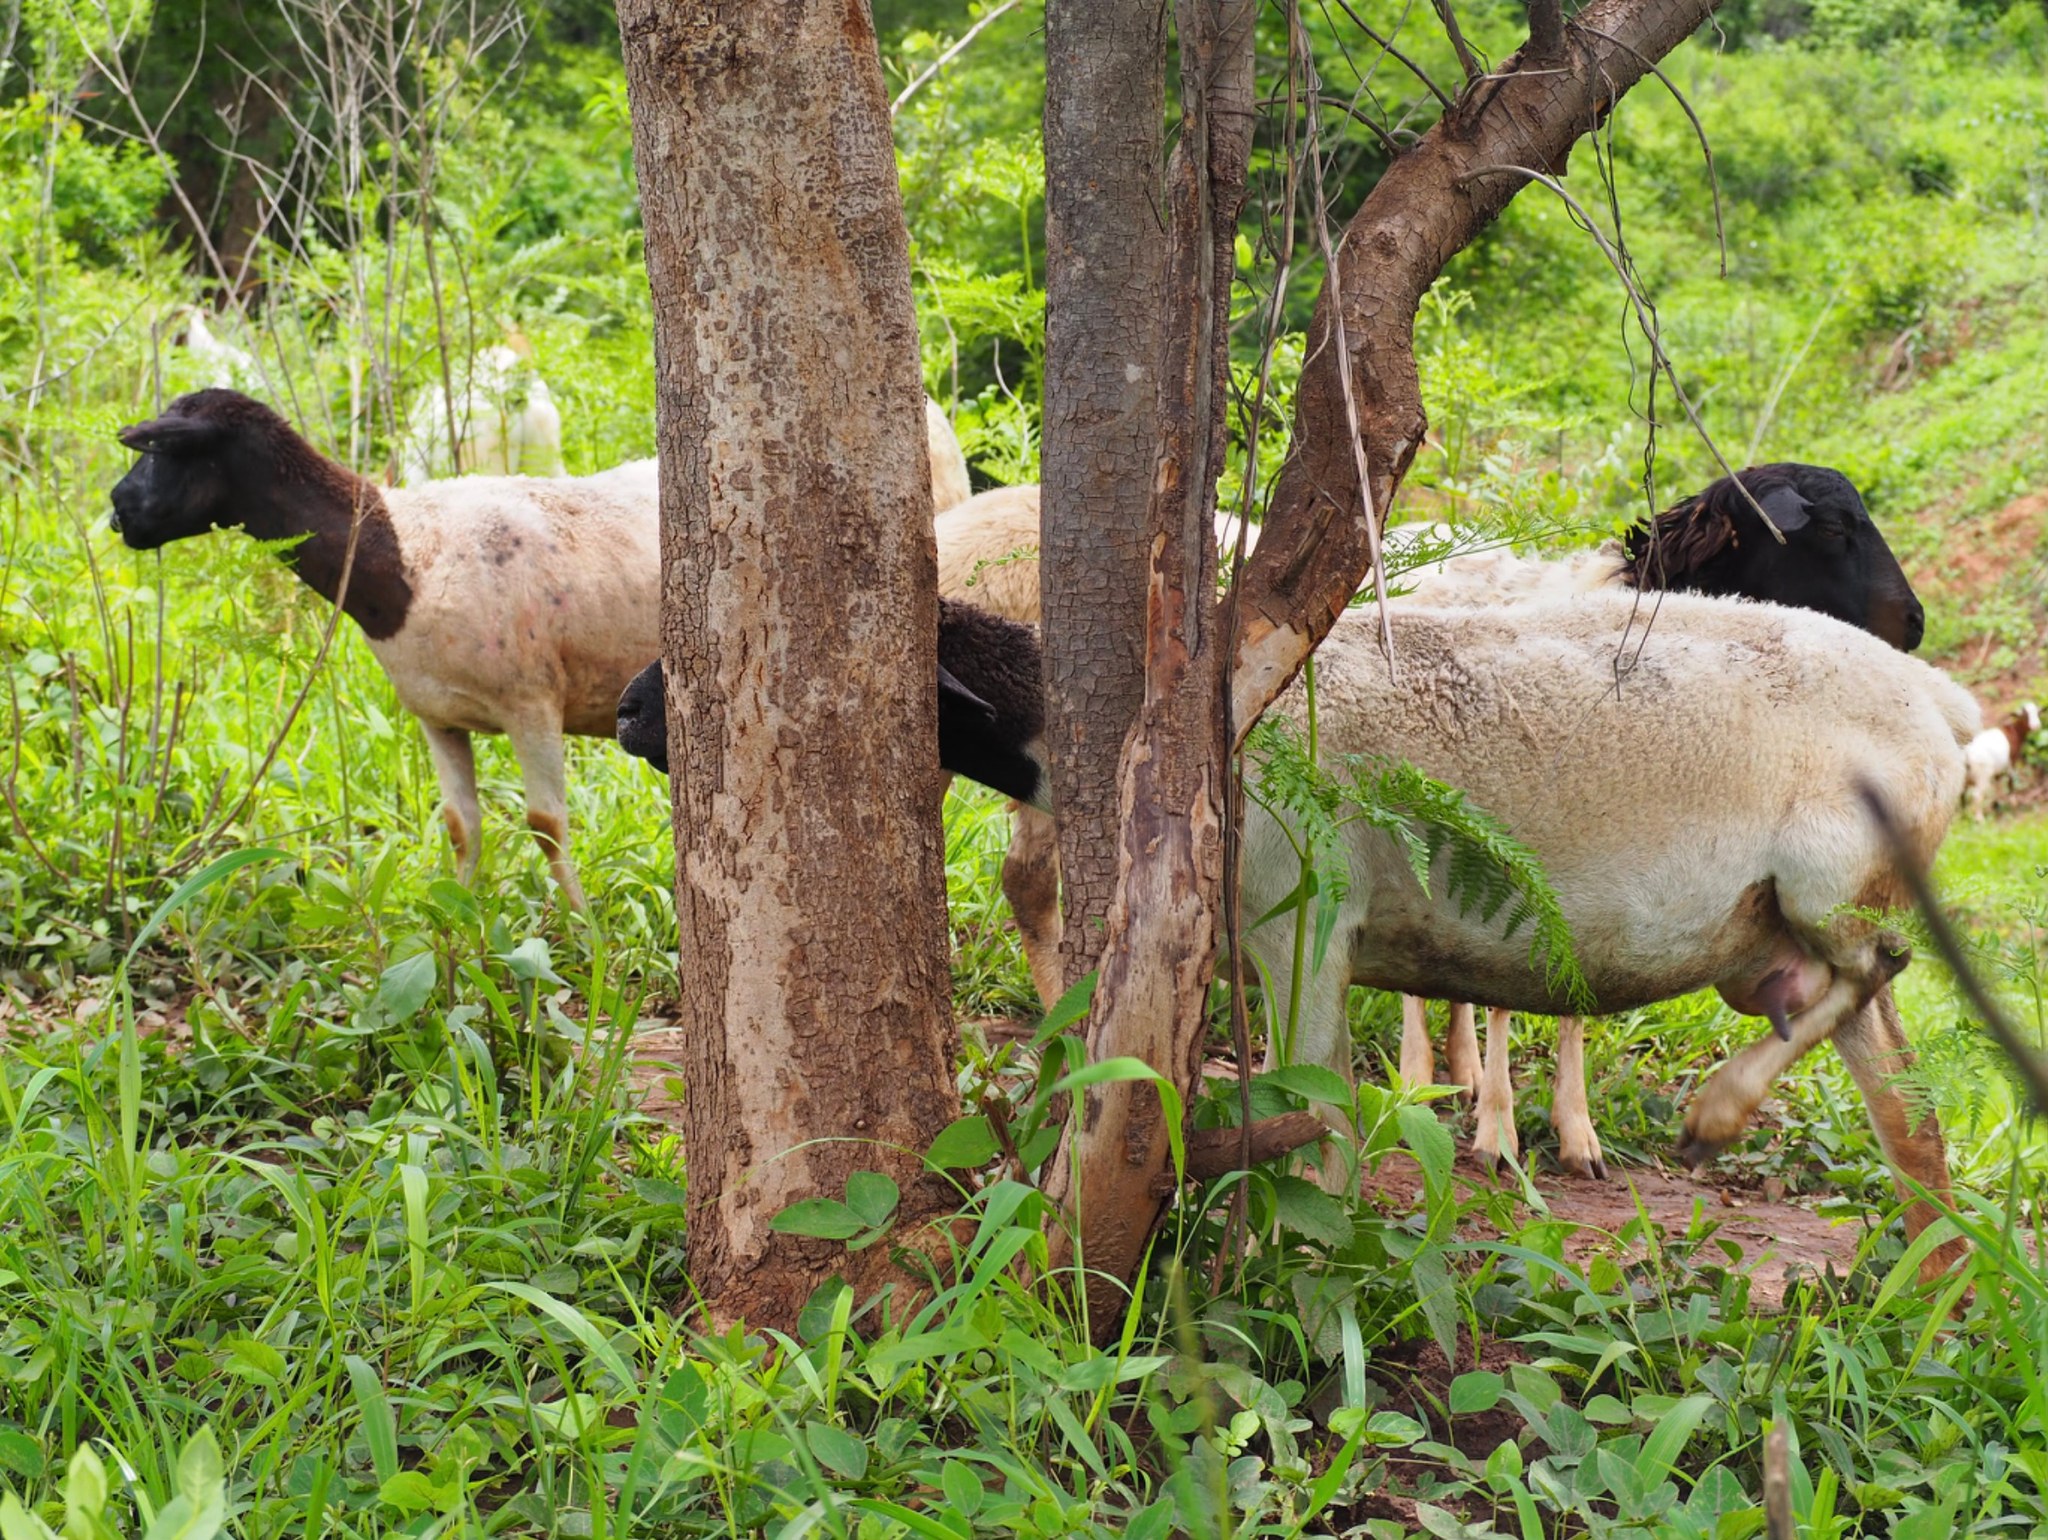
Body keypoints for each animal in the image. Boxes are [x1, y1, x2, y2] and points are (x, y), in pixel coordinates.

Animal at [1239, 590, 1978, 1274]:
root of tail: (1934, 695)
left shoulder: (1301, 928)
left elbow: (1305, 1120)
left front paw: (1278, 1269)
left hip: (1832, 880)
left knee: (1877, 965)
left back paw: (1717, 1114)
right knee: (1901, 1094)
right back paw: (1931, 1284)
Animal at [1388, 463, 1927, 1177]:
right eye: (1835, 528)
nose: (1915, 624)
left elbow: (1568, 994)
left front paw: (1576, 1131)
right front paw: (1499, 1134)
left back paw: (1464, 1069)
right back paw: (1418, 1074)